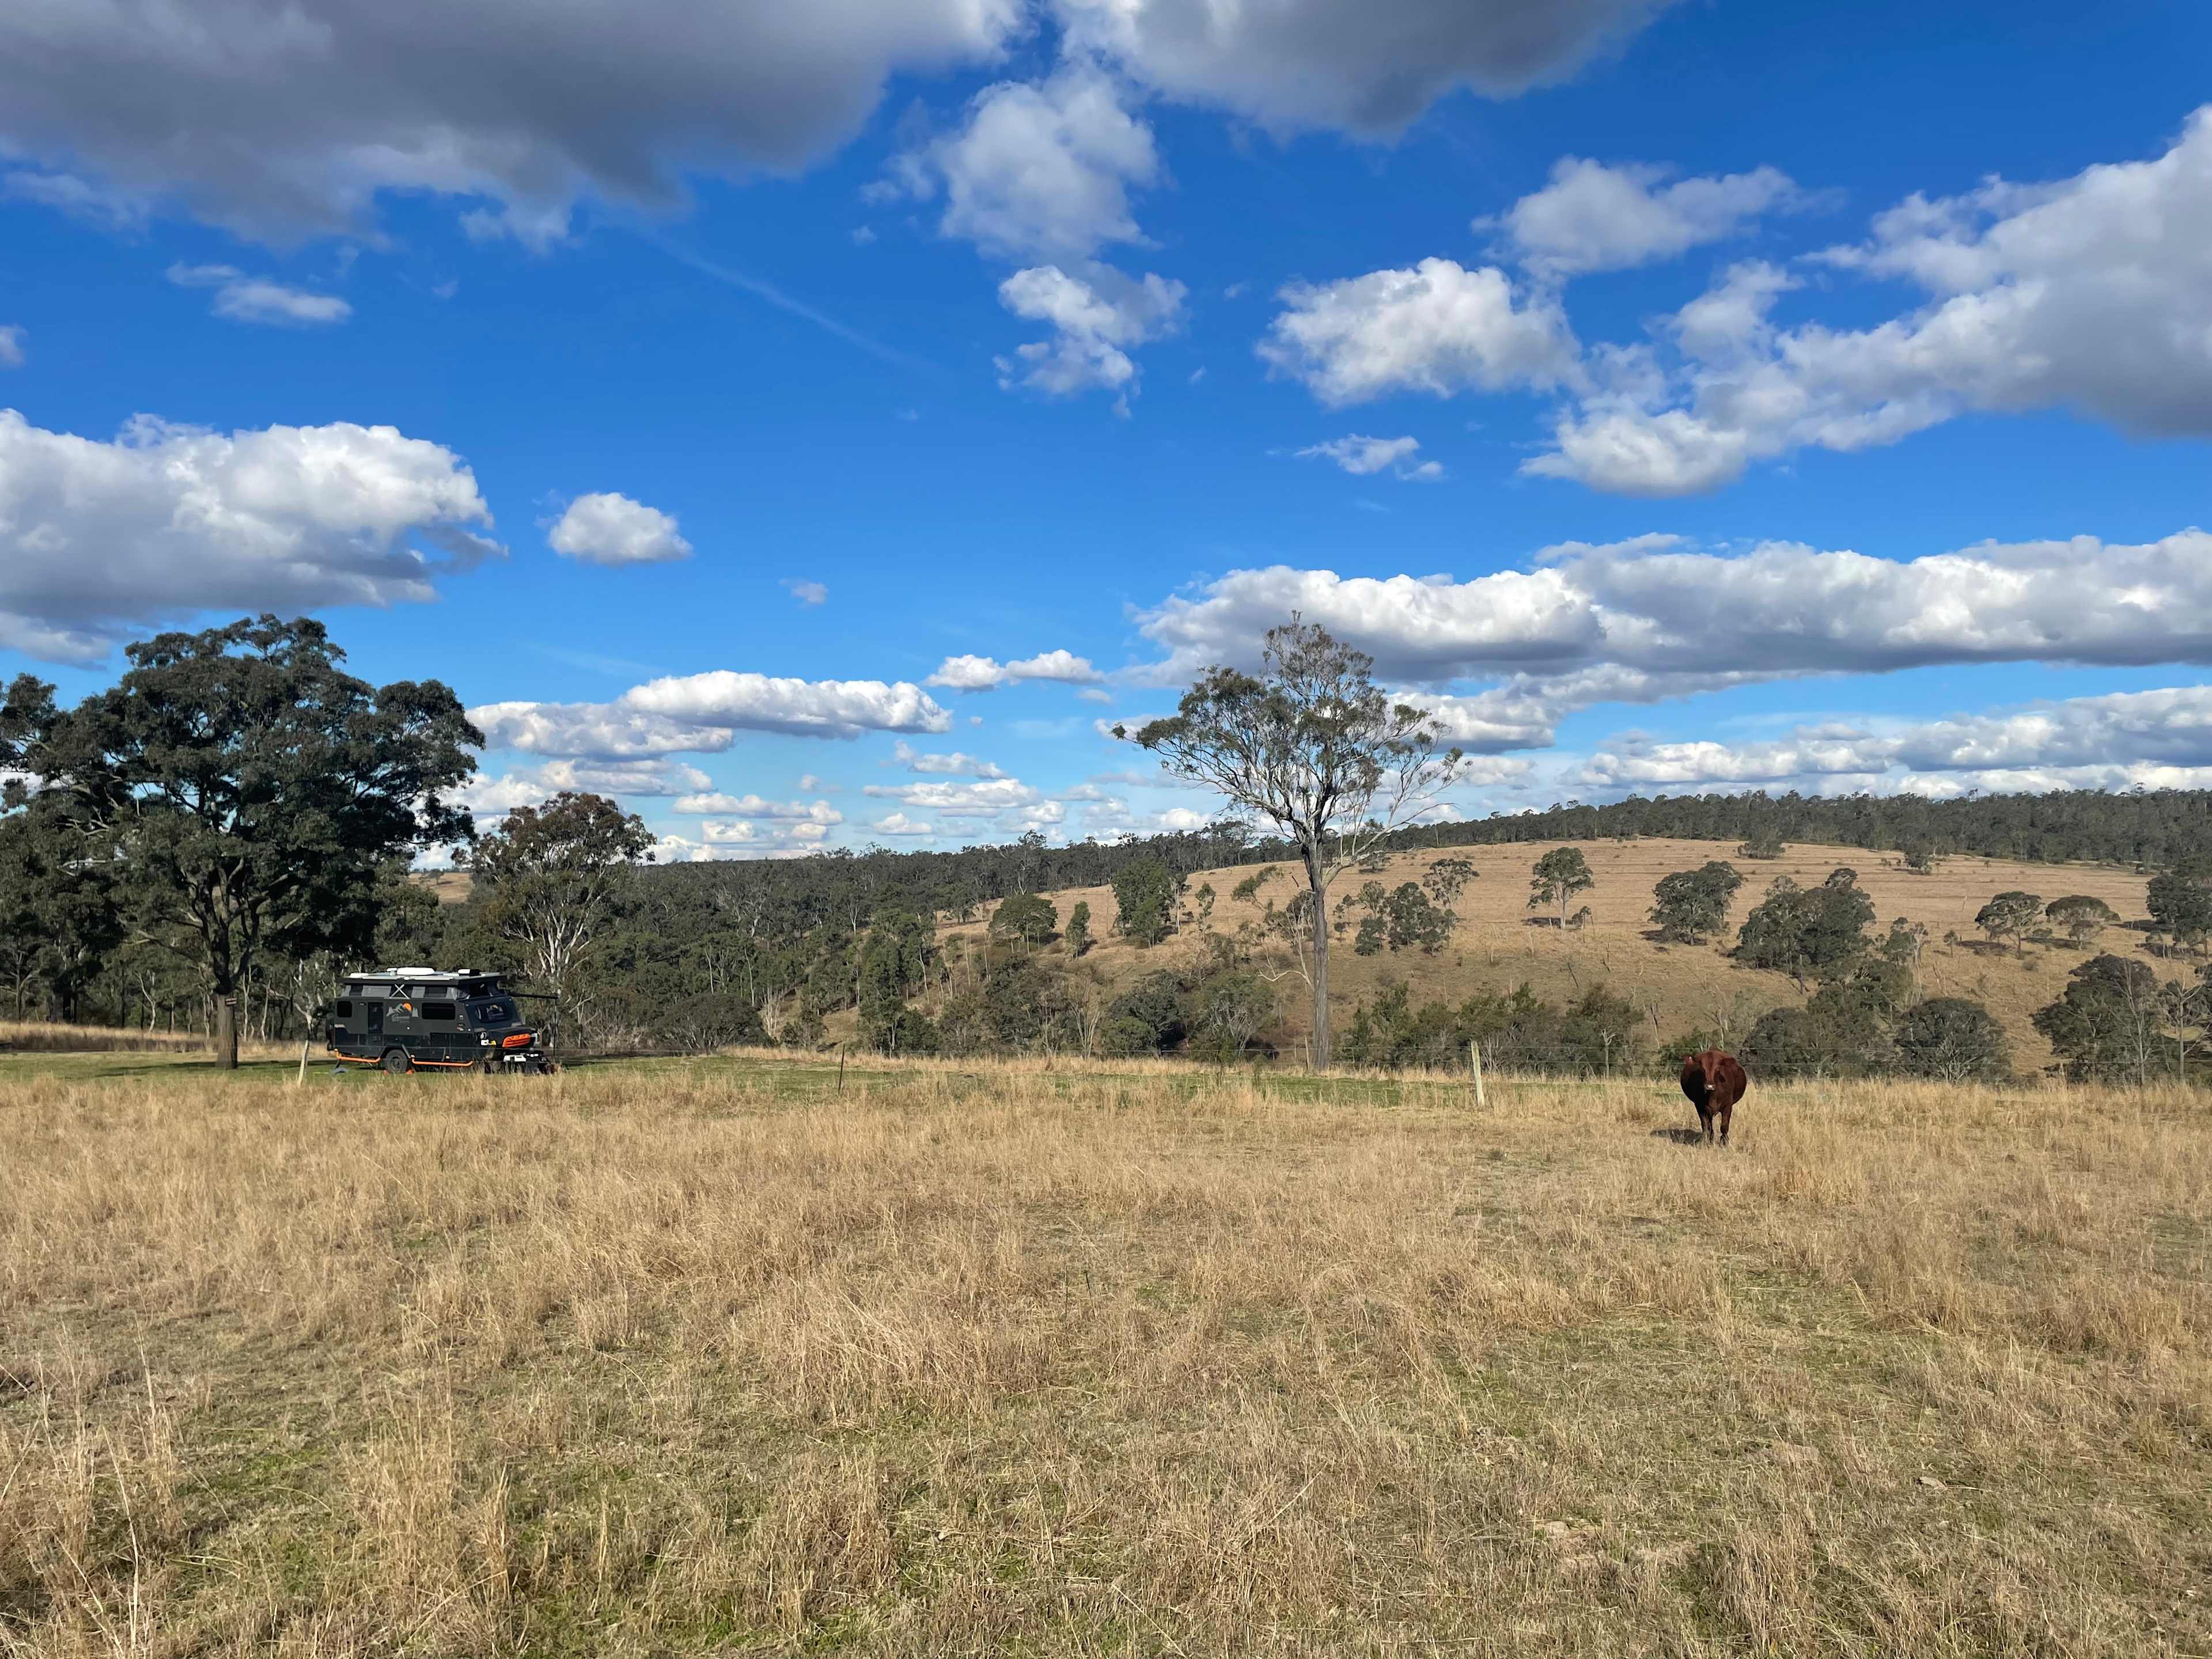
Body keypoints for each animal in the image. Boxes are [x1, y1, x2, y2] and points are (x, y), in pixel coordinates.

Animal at [1679, 1050, 1748, 1146]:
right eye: (1703, 1069)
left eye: (1718, 1069)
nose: (1710, 1086)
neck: (1712, 1096)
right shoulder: (1700, 1107)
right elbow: (1705, 1126)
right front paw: (1704, 1142)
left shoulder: (1728, 1107)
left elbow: (1724, 1126)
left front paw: (1724, 1142)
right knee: (1710, 1126)